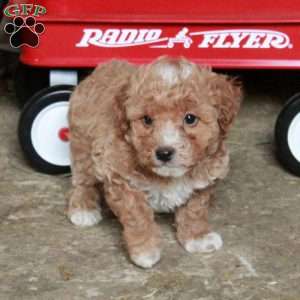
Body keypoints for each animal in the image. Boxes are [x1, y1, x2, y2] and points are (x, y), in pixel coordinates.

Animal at [67, 55, 240, 268]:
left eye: (190, 118)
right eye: (147, 120)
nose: (164, 153)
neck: (168, 176)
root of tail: (104, 66)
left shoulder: (205, 179)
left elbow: (195, 210)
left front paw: (197, 237)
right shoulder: (120, 176)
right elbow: (138, 216)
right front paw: (145, 251)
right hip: (82, 144)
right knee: (84, 180)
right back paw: (83, 208)